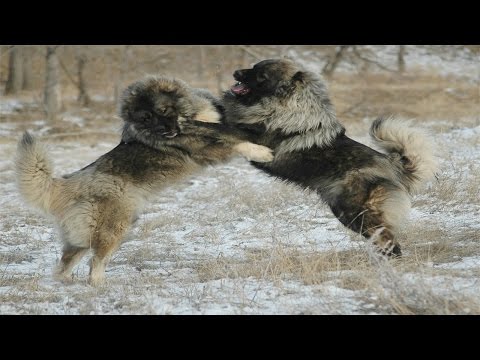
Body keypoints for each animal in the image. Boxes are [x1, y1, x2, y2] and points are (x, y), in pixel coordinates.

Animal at [15, 75, 274, 284]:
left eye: (162, 110)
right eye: (146, 119)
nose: (165, 131)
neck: (189, 116)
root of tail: (69, 182)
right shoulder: (205, 150)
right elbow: (237, 144)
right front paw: (261, 152)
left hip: (83, 236)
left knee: (65, 263)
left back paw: (67, 282)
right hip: (115, 227)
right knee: (95, 262)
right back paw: (99, 285)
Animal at [221, 59, 438, 256]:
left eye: (261, 76)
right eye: (253, 66)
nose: (235, 72)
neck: (285, 106)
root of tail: (392, 165)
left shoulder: (256, 138)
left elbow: (225, 123)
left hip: (357, 213)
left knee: (390, 242)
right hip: (347, 214)